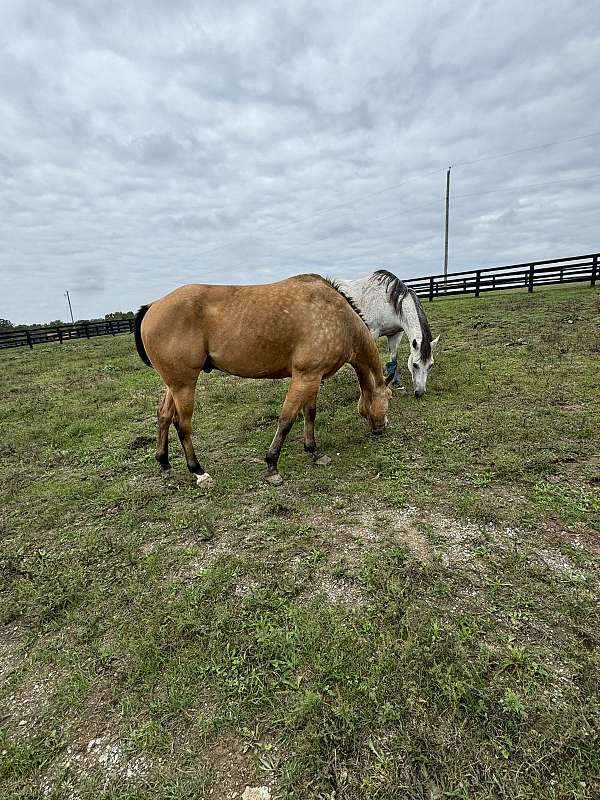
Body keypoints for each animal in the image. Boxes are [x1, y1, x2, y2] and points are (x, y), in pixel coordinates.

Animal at [134, 276, 392, 488]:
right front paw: (271, 465)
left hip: (174, 384)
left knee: (164, 416)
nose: (382, 428)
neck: (337, 315)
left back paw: (165, 464)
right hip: (185, 384)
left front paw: (315, 452)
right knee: (182, 424)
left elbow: (309, 413)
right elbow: (287, 419)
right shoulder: (304, 376)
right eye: (389, 398)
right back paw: (199, 472)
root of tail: (154, 306)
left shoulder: (313, 377)